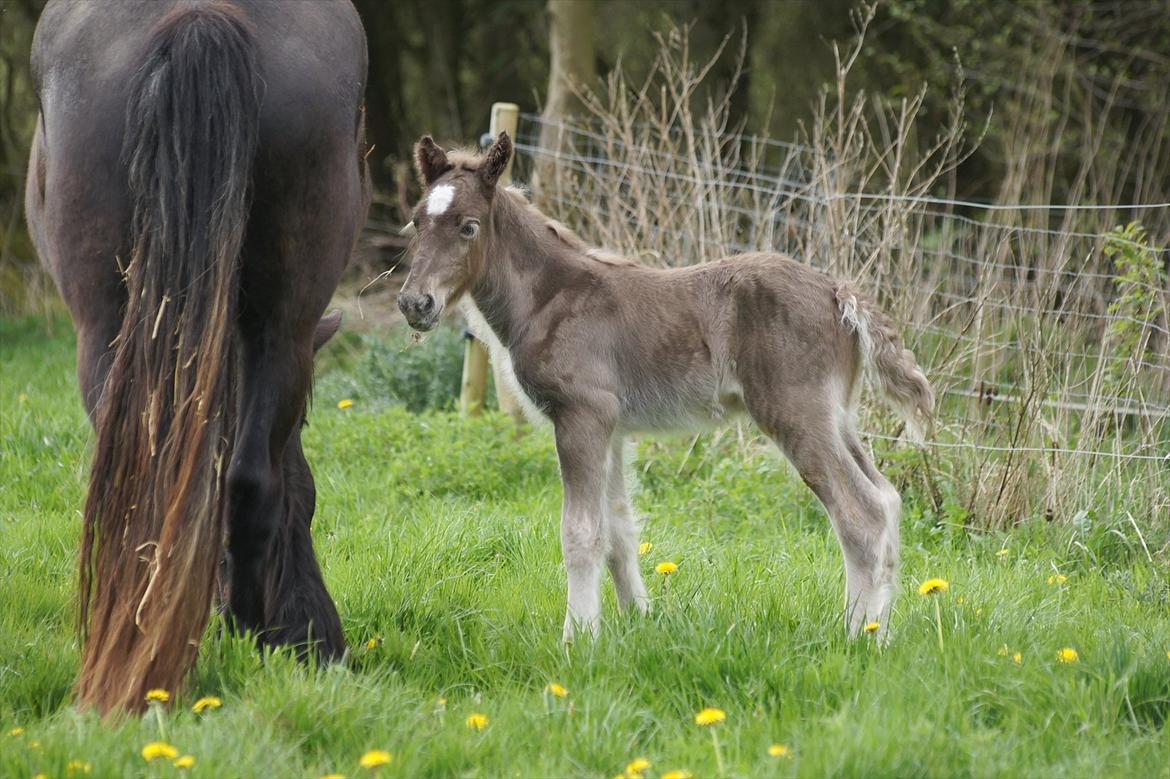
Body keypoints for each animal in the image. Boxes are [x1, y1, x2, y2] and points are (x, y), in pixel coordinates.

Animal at [400, 133, 931, 640]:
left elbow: (581, 534)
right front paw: (638, 621)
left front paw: (578, 639)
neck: (549, 298)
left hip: (796, 413)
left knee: (861, 515)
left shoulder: (580, 416)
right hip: (835, 416)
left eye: (468, 226)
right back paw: (880, 632)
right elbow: (618, 530)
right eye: (416, 223)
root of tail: (838, 292)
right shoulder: (611, 427)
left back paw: (857, 637)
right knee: (887, 499)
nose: (414, 304)